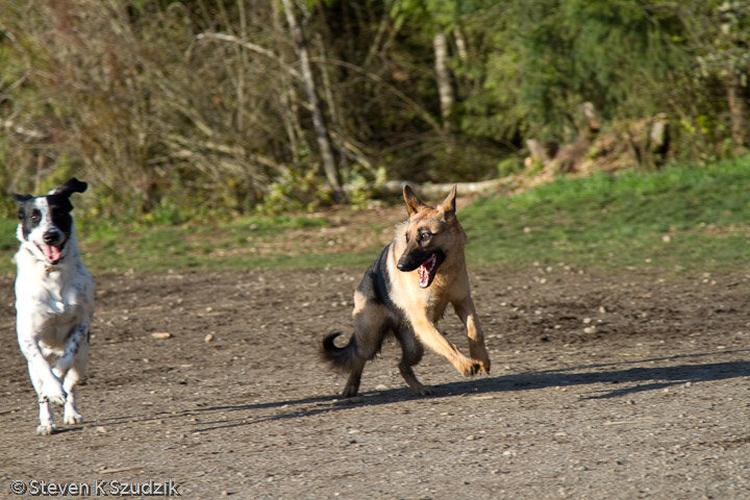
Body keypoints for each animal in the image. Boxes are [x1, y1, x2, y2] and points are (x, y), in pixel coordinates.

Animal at [13, 178, 94, 435]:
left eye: (58, 213)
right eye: (34, 217)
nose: (50, 235)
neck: (52, 272)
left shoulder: (81, 325)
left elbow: (63, 364)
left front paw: (58, 388)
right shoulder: (28, 338)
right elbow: (44, 371)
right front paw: (52, 390)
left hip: (83, 360)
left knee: (72, 382)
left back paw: (71, 412)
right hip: (32, 367)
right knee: (41, 387)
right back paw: (47, 423)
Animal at [322, 185, 490, 397]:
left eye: (425, 236)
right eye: (407, 238)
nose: (401, 266)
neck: (442, 277)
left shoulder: (463, 302)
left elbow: (475, 331)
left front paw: (481, 359)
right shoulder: (424, 322)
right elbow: (446, 343)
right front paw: (465, 365)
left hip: (415, 347)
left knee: (401, 365)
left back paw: (420, 388)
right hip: (371, 339)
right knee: (359, 358)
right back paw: (351, 387)